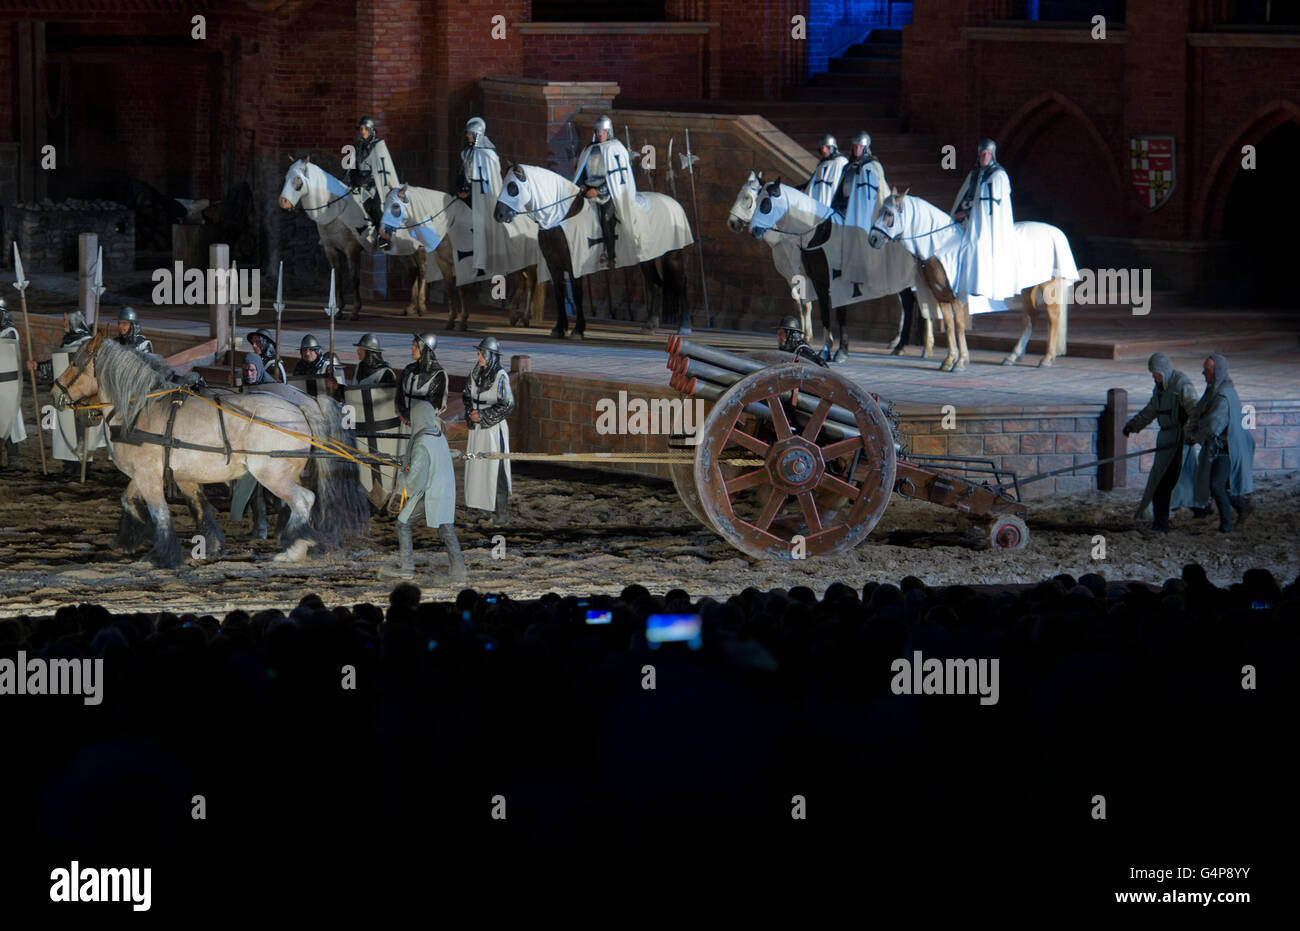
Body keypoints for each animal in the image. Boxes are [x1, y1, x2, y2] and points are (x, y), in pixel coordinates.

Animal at [54, 335, 371, 566]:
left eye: (76, 363)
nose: (56, 392)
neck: (142, 408)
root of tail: (303, 405)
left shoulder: (148, 474)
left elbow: (161, 513)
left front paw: (162, 554)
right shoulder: (164, 474)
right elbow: (147, 501)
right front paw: (132, 539)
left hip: (272, 474)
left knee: (304, 500)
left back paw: (294, 547)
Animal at [274, 155, 441, 319]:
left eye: (298, 178)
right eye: (286, 177)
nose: (282, 202)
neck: (336, 211)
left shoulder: (352, 249)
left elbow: (354, 278)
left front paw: (355, 311)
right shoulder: (331, 250)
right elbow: (337, 278)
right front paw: (338, 310)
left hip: (418, 246)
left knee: (422, 270)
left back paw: (421, 307)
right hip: (402, 249)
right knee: (413, 270)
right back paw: (410, 308)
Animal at [382, 182, 551, 331]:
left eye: (395, 206)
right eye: (384, 204)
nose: (383, 235)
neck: (448, 226)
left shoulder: (463, 263)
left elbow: (462, 290)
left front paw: (462, 321)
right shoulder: (444, 263)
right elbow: (450, 290)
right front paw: (451, 320)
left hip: (529, 262)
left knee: (531, 284)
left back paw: (525, 318)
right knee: (522, 283)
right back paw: (514, 315)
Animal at [488, 162, 696, 338]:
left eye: (512, 187)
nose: (498, 215)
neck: (563, 216)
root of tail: (673, 203)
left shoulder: (575, 266)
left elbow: (577, 295)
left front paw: (578, 330)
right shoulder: (554, 267)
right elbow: (559, 295)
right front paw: (559, 328)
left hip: (673, 255)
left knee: (681, 284)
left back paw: (684, 325)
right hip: (647, 258)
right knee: (655, 285)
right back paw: (650, 324)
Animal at [728, 170, 930, 364]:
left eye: (759, 201)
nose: (733, 223)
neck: (817, 233)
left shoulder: (833, 279)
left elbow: (833, 311)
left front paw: (839, 350)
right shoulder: (817, 279)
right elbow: (822, 311)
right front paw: (825, 348)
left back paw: (921, 347)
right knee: (909, 303)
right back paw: (902, 345)